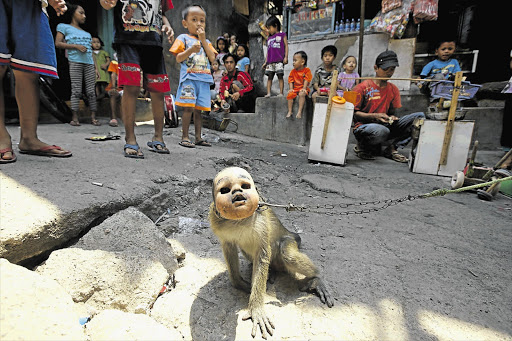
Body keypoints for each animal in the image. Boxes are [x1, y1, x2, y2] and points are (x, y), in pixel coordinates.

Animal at [209, 167, 334, 338]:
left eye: (244, 186)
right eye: (226, 190)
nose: (237, 191)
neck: (239, 220)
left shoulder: (260, 218)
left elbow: (262, 253)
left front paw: (256, 308)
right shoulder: (216, 221)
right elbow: (229, 247)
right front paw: (239, 283)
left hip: (289, 240)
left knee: (288, 255)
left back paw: (317, 278)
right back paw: (273, 271)